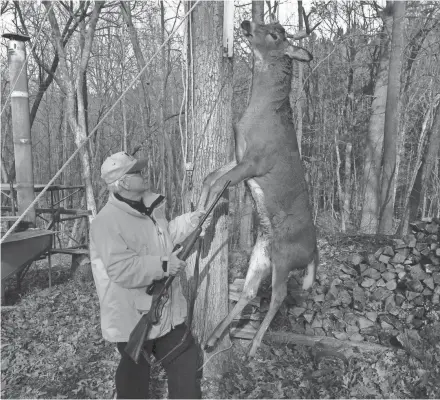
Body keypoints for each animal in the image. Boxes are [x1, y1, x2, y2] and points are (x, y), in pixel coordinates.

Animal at [199, 9, 320, 356]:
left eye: (277, 34)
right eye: (269, 22)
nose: (246, 23)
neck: (261, 113)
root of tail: (313, 254)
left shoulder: (256, 163)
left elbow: (218, 184)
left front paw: (202, 221)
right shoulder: (240, 157)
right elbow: (210, 177)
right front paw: (197, 211)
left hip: (284, 257)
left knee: (277, 297)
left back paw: (253, 347)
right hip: (262, 254)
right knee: (250, 291)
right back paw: (213, 336)